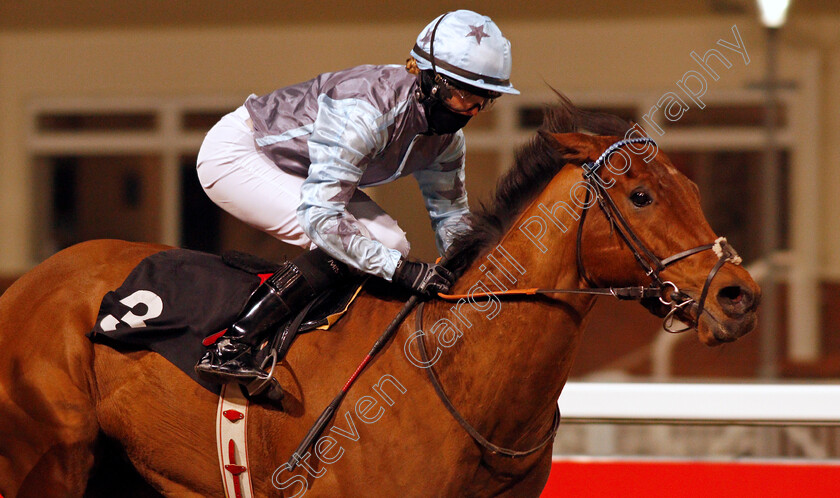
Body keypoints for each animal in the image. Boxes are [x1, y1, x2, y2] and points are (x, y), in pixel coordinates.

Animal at [1, 95, 760, 496]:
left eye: (694, 190)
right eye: (641, 196)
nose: (738, 296)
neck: (456, 372)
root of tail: (28, 283)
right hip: (49, 460)